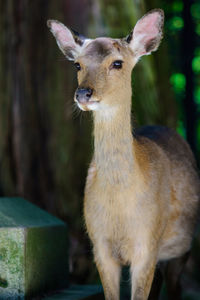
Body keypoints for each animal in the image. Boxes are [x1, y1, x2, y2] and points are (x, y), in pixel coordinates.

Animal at [47, 9, 199, 300]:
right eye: (78, 65)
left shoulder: (148, 243)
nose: (83, 93)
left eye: (117, 63)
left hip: (182, 247)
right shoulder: (99, 245)